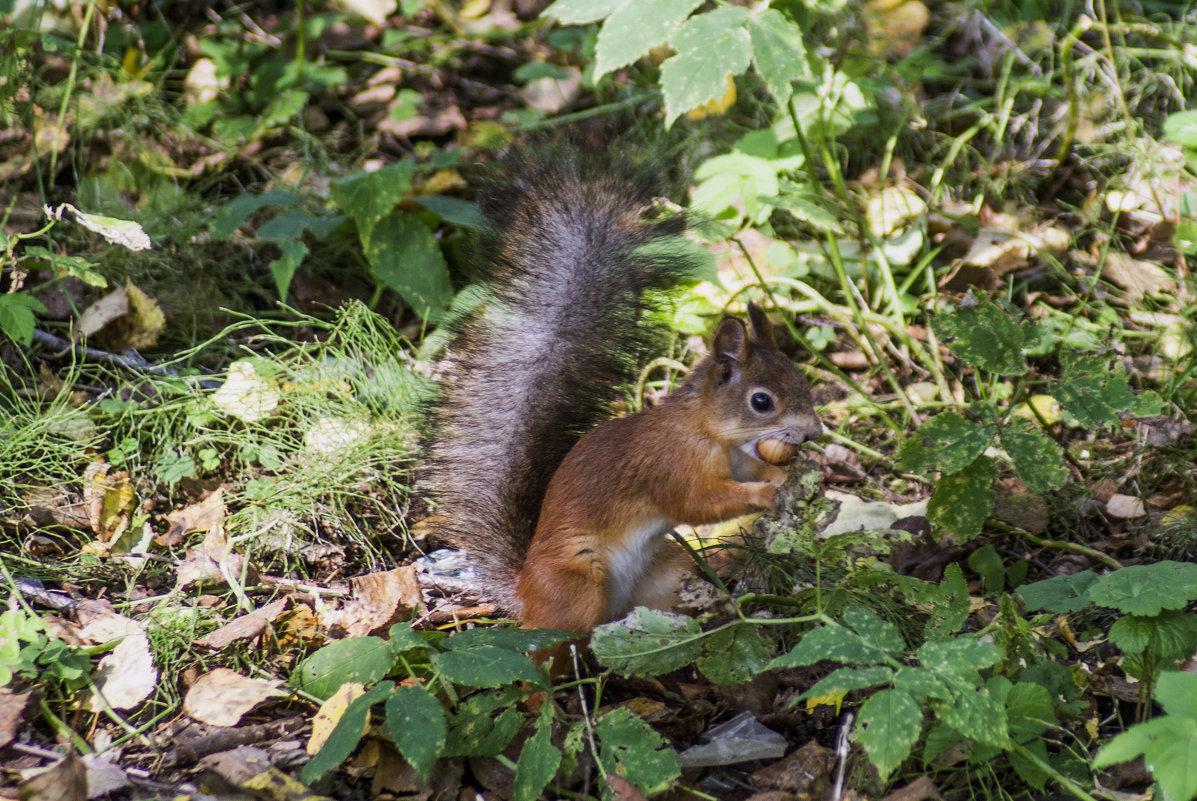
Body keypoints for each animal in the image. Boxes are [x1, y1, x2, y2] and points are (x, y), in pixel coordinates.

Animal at [423, 149, 823, 636]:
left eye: (801, 379)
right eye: (762, 401)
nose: (815, 433)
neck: (708, 432)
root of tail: (524, 594)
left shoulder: (739, 459)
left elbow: (751, 472)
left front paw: (793, 475)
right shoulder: (670, 467)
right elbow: (696, 504)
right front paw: (764, 495)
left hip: (665, 573)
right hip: (576, 582)